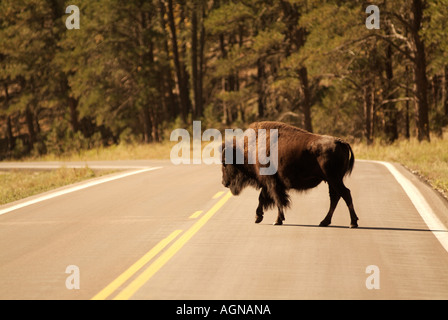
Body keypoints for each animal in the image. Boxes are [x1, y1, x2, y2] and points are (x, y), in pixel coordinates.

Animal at [222, 121, 358, 229]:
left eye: (225, 163)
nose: (224, 183)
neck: (251, 147)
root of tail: (341, 142)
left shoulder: (272, 182)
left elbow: (278, 200)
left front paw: (277, 220)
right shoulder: (269, 183)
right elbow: (263, 198)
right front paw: (258, 217)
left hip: (334, 179)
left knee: (345, 194)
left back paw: (352, 223)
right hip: (331, 181)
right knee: (335, 197)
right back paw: (324, 222)